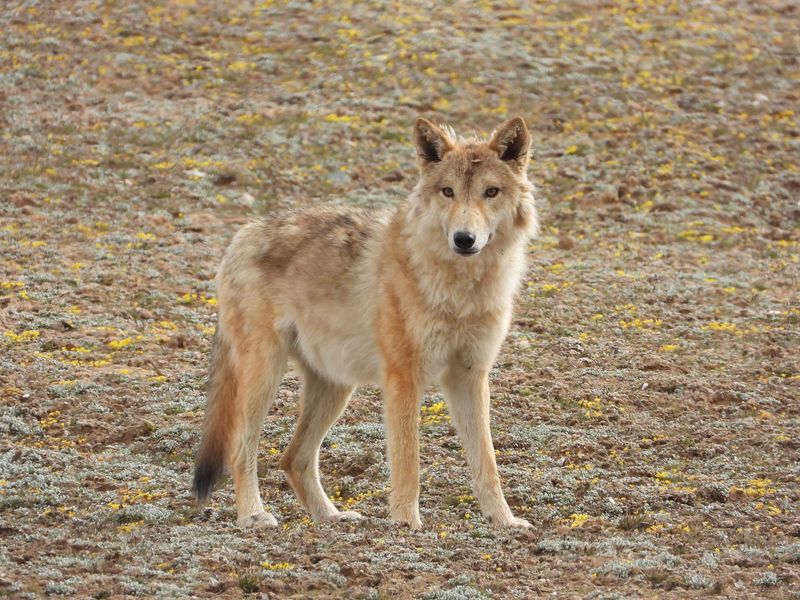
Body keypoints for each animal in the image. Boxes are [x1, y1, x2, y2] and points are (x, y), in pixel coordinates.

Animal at [193, 115, 540, 528]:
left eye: (491, 192)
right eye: (448, 192)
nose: (464, 239)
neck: (460, 290)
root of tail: (241, 234)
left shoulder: (469, 376)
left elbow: (486, 463)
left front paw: (504, 522)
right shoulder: (403, 377)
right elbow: (408, 462)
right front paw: (406, 524)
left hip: (335, 388)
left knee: (294, 458)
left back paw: (331, 517)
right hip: (265, 376)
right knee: (240, 450)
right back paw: (254, 516)